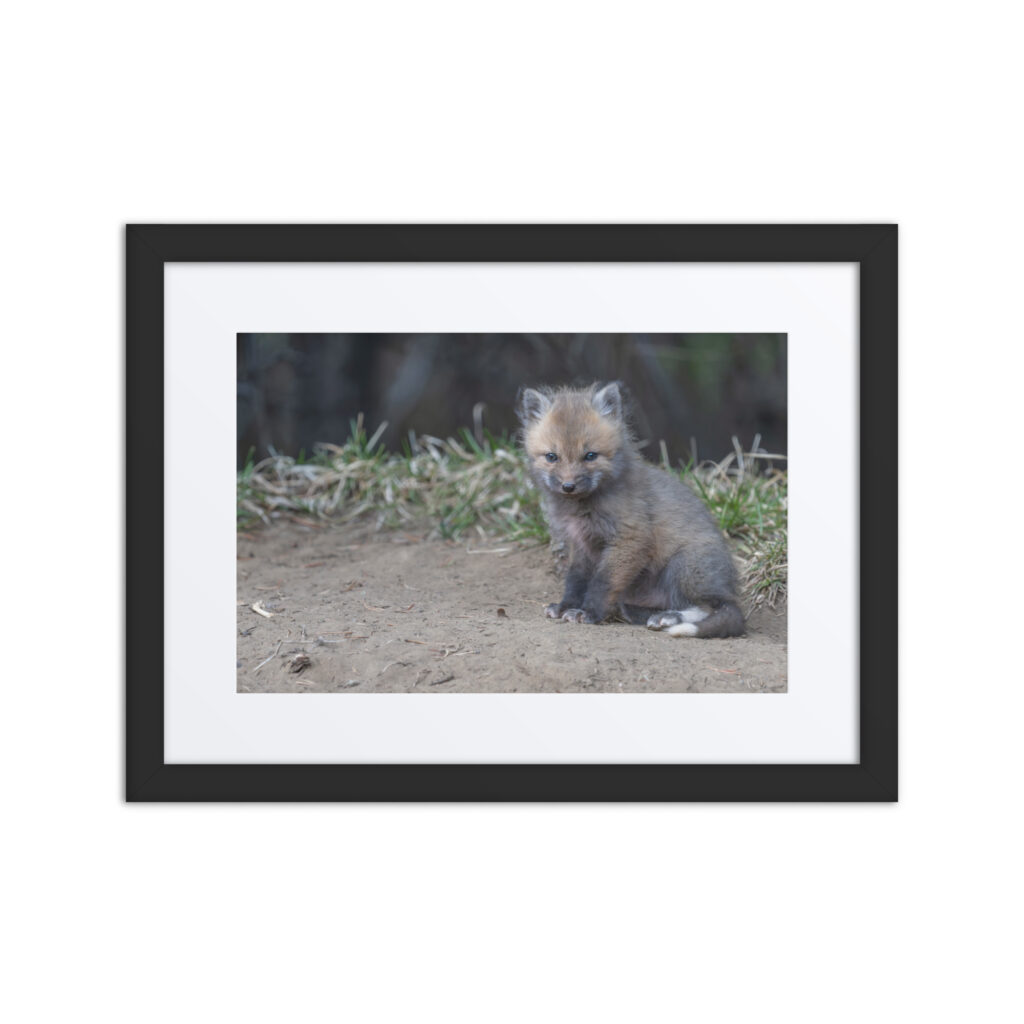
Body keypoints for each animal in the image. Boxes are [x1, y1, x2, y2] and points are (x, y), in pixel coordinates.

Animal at [516, 382, 745, 638]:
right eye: (552, 457)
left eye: (590, 456)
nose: (568, 486)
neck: (583, 508)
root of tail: (729, 588)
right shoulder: (581, 544)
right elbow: (575, 580)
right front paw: (566, 606)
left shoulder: (630, 538)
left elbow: (602, 582)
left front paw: (589, 613)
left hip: (683, 566)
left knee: (710, 607)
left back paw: (668, 618)